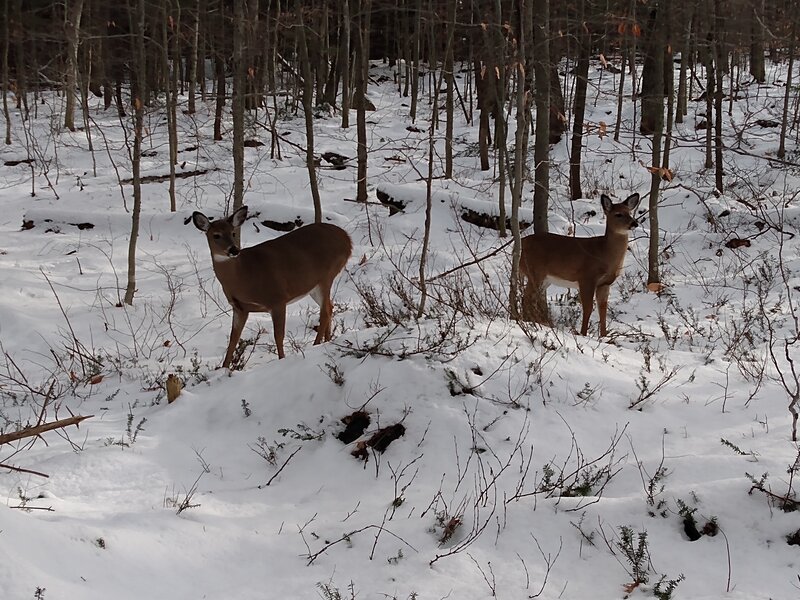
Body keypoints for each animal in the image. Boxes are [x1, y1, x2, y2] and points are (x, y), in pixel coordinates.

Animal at [192, 205, 352, 368]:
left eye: (233, 233)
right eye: (216, 235)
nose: (234, 250)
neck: (243, 276)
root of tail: (347, 238)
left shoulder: (277, 298)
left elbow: (278, 336)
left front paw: (282, 360)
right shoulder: (239, 308)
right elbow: (233, 339)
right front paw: (224, 368)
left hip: (326, 276)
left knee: (325, 311)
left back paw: (316, 344)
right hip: (313, 286)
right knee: (330, 306)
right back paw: (327, 341)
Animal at [520, 192, 641, 337]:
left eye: (629, 212)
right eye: (618, 214)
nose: (634, 223)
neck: (603, 253)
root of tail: (522, 243)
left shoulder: (604, 283)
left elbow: (603, 309)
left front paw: (604, 336)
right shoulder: (586, 278)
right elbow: (588, 308)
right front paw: (583, 333)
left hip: (544, 279)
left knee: (532, 299)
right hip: (535, 272)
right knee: (526, 298)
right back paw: (528, 323)